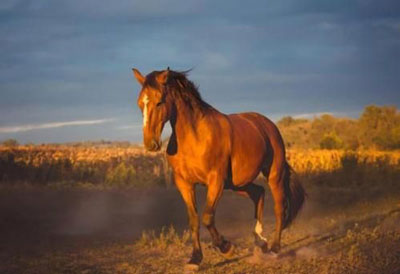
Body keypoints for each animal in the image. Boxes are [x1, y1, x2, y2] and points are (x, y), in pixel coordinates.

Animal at [132, 67, 306, 270]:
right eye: (140, 103)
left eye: (159, 101)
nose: (150, 144)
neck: (196, 137)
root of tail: (267, 125)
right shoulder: (184, 183)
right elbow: (194, 220)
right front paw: (195, 259)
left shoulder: (216, 181)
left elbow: (207, 217)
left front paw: (226, 248)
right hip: (238, 184)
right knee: (259, 193)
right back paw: (260, 241)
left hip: (273, 176)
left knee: (279, 207)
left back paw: (274, 248)